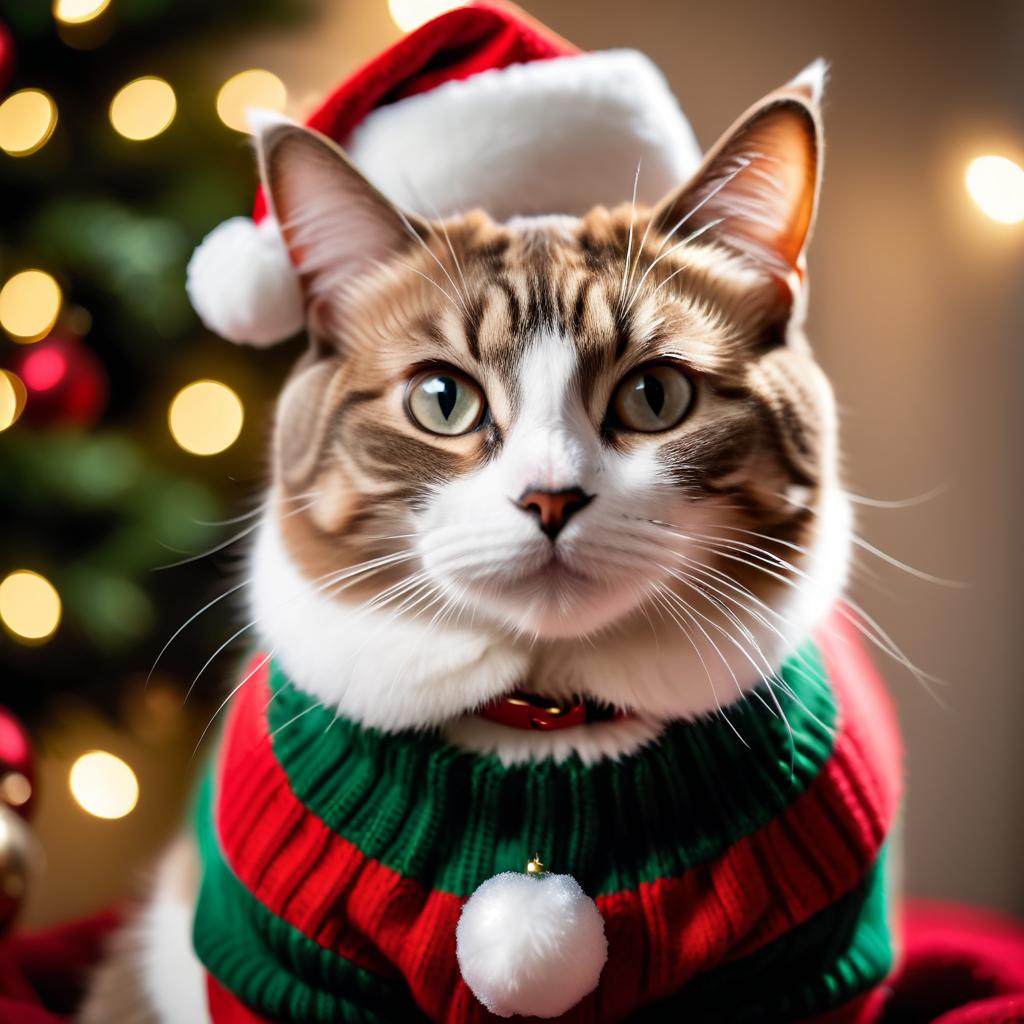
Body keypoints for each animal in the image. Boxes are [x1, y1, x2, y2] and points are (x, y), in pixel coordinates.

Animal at [77, 66, 897, 1024]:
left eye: (656, 396)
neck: (544, 723)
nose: (551, 497)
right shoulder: (276, 965)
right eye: (442, 399)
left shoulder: (809, 966)